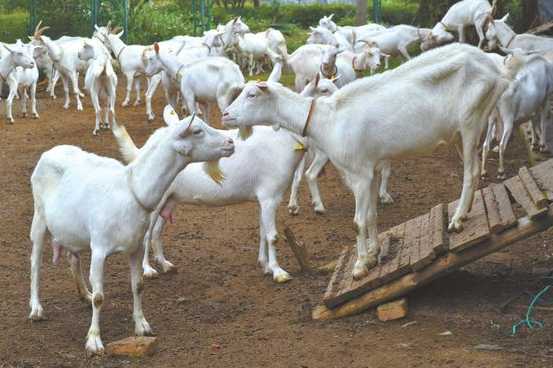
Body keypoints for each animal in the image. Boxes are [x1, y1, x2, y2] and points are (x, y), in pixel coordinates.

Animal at [29, 105, 234, 354]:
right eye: (197, 131)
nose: (231, 142)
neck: (131, 189)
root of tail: (50, 152)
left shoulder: (136, 247)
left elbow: (138, 286)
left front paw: (142, 325)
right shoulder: (99, 249)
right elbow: (100, 297)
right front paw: (94, 340)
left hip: (72, 230)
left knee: (72, 257)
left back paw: (84, 293)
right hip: (39, 218)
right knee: (35, 262)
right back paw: (36, 308)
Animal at [221, 43, 508, 278]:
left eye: (252, 95)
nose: (225, 115)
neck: (327, 120)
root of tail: (494, 67)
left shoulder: (358, 173)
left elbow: (358, 222)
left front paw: (359, 266)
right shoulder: (370, 171)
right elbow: (370, 215)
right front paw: (372, 254)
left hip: (472, 121)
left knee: (471, 172)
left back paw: (457, 220)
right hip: (459, 132)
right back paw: (465, 213)